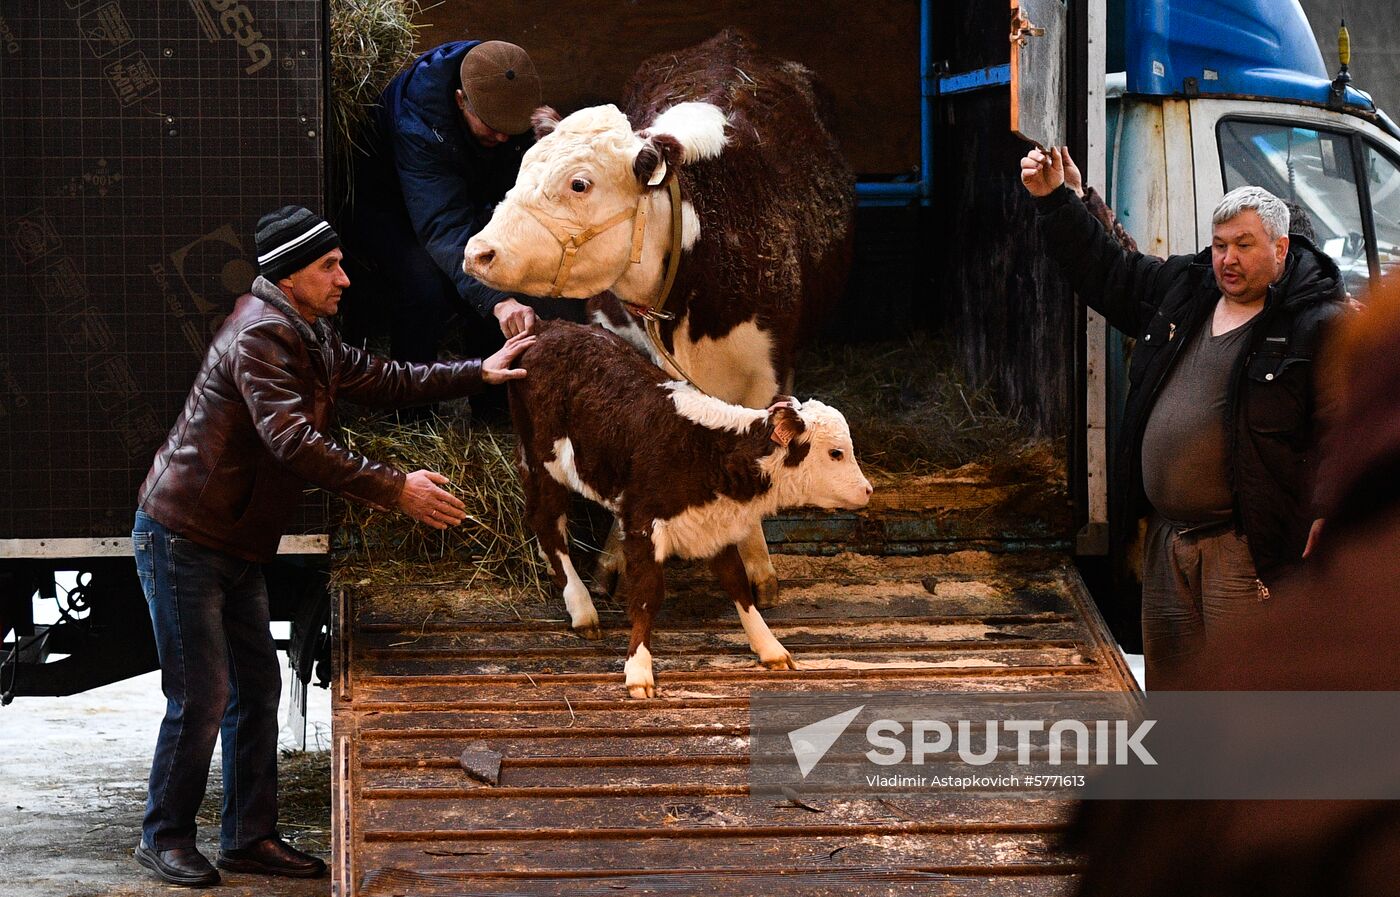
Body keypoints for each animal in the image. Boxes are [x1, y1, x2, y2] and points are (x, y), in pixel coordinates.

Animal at [467, 31, 851, 612]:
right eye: (522, 167)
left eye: (580, 184)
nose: (478, 252)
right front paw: (612, 563)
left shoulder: (767, 371)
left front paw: (758, 568)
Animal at [509, 321, 868, 699]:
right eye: (836, 452)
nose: (867, 490)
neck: (707, 450)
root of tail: (548, 327)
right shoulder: (642, 524)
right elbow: (647, 596)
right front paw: (639, 671)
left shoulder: (714, 523)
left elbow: (737, 584)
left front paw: (770, 648)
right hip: (543, 462)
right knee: (546, 521)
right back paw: (581, 607)